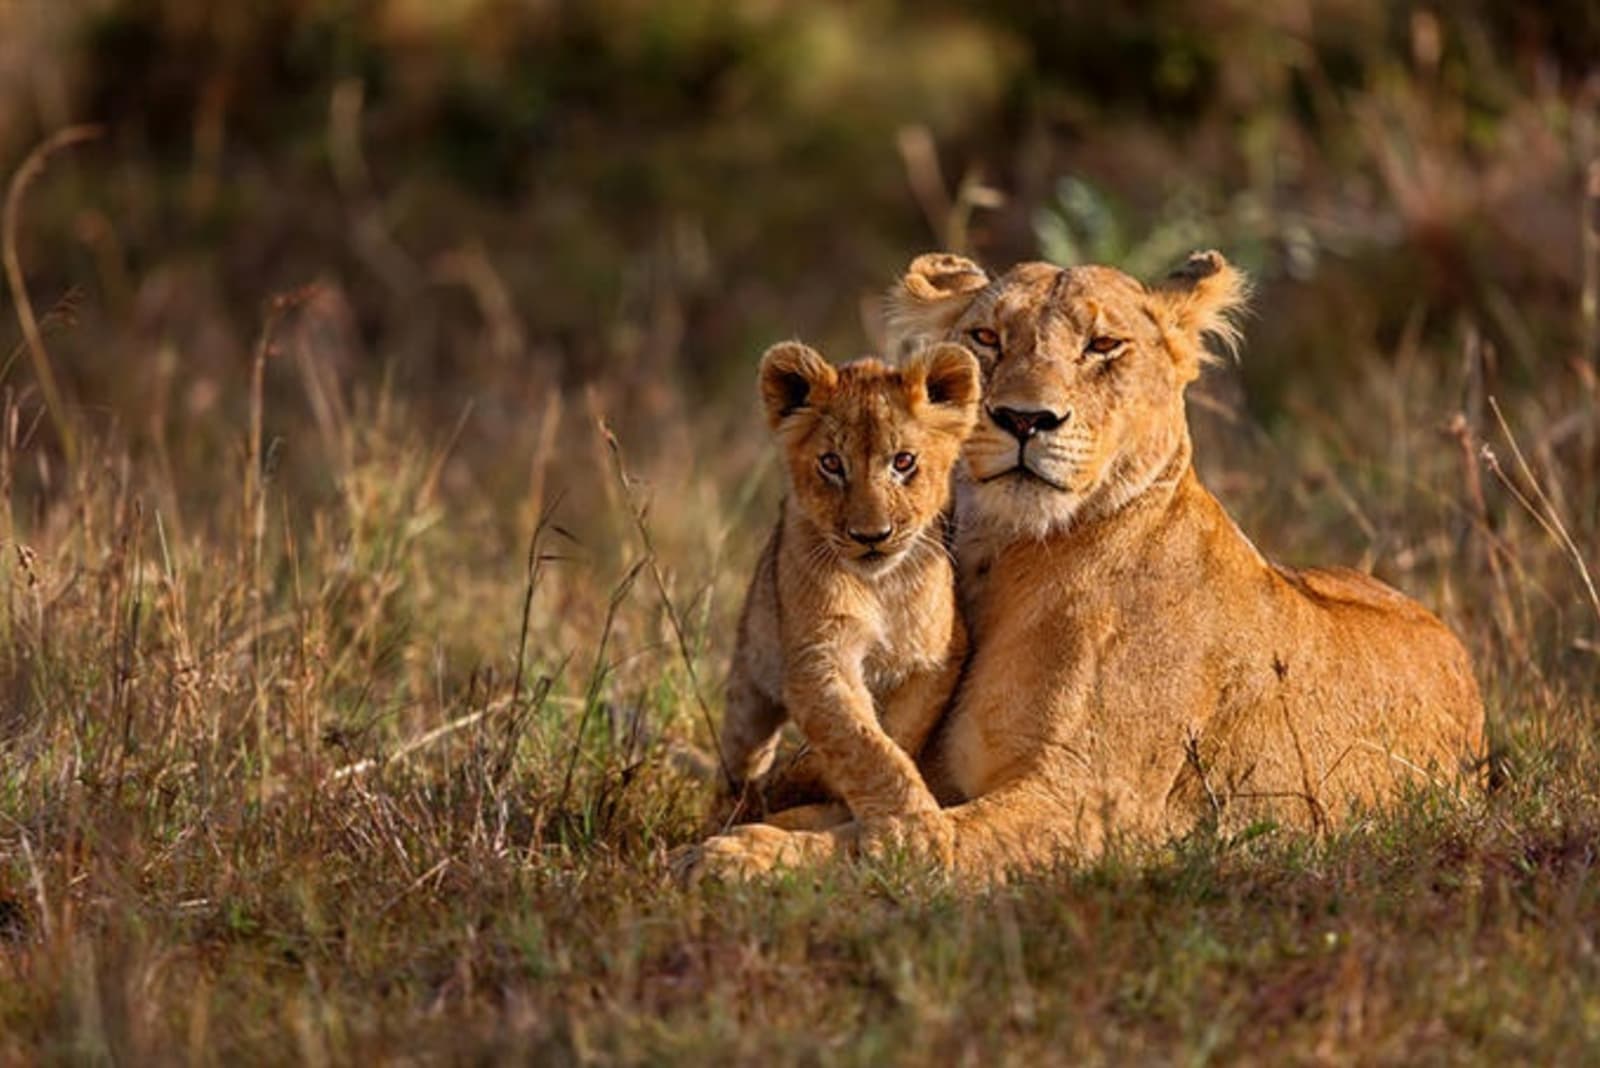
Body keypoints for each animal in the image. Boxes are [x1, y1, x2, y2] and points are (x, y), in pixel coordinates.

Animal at [714, 340, 981, 831]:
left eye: (903, 462)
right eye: (832, 464)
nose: (871, 535)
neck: (882, 587)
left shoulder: (937, 656)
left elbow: (896, 733)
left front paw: (818, 779)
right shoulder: (818, 657)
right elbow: (863, 744)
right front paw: (916, 826)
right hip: (749, 682)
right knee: (740, 758)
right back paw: (733, 810)